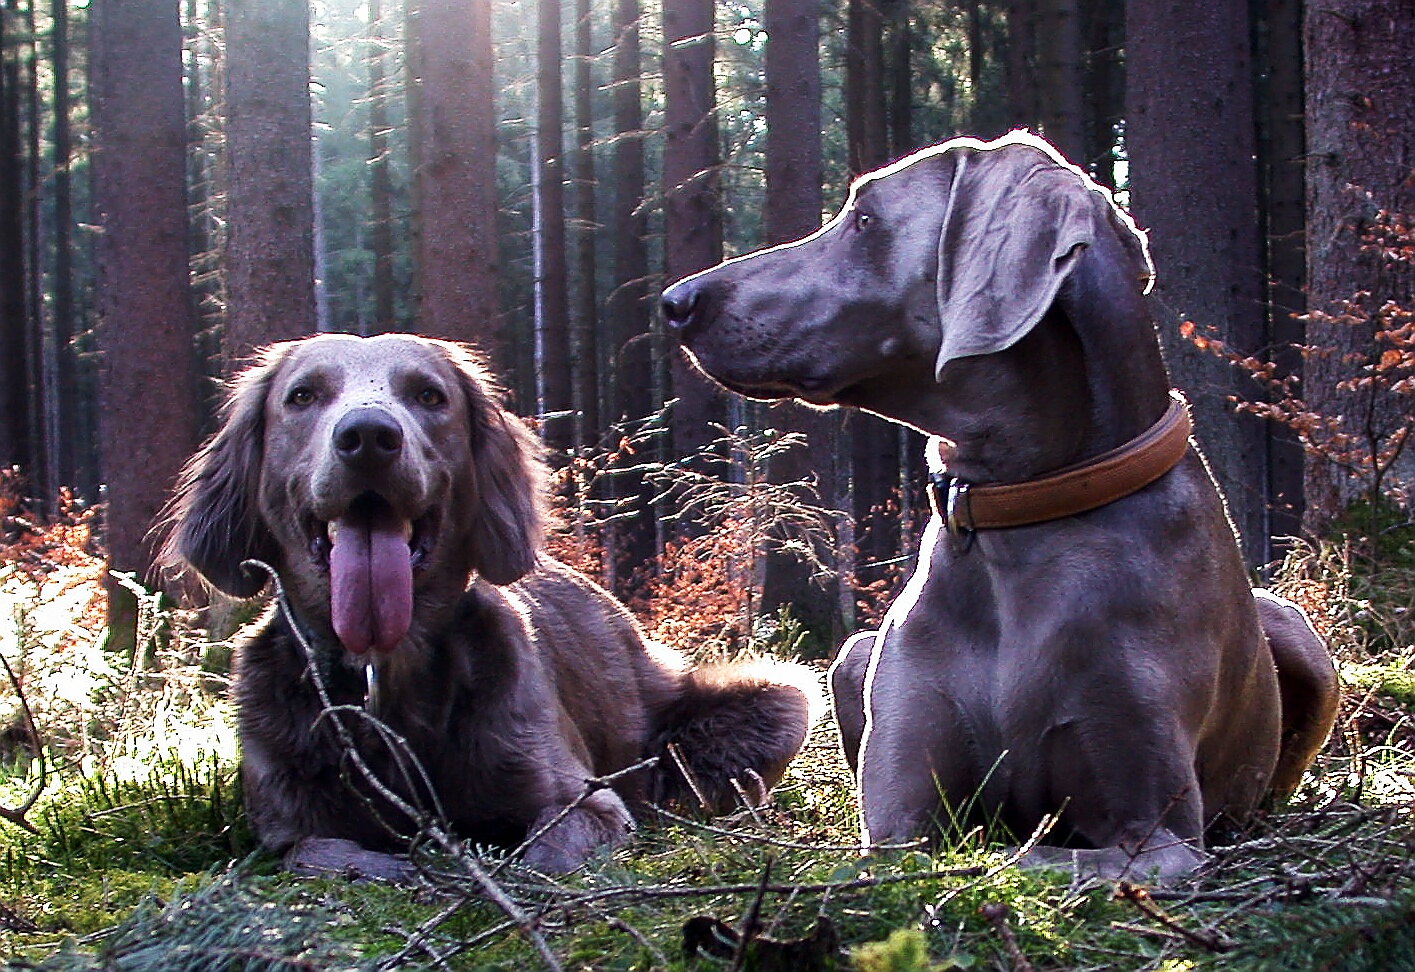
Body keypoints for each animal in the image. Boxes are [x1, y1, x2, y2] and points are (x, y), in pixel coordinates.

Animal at [160, 332, 826, 877]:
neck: (386, 671)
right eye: (302, 396)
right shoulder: (282, 825)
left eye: (430, 396)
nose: (369, 437)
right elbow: (319, 852)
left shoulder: (582, 799)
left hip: (778, 699)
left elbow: (543, 855)